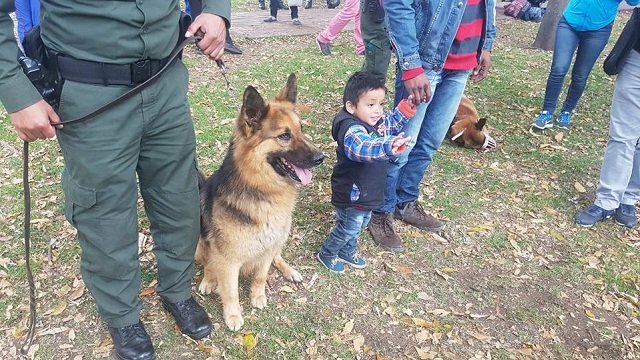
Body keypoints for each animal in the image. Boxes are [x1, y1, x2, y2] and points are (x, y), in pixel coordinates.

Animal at [196, 74, 324, 332]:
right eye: (284, 136)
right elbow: (230, 291)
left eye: (302, 129)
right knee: (207, 262)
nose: (321, 158)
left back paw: (289, 270)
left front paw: (258, 297)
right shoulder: (227, 260)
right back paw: (208, 280)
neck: (263, 191)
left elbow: (260, 276)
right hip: (199, 244)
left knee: (276, 256)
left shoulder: (267, 249)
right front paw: (233, 315)